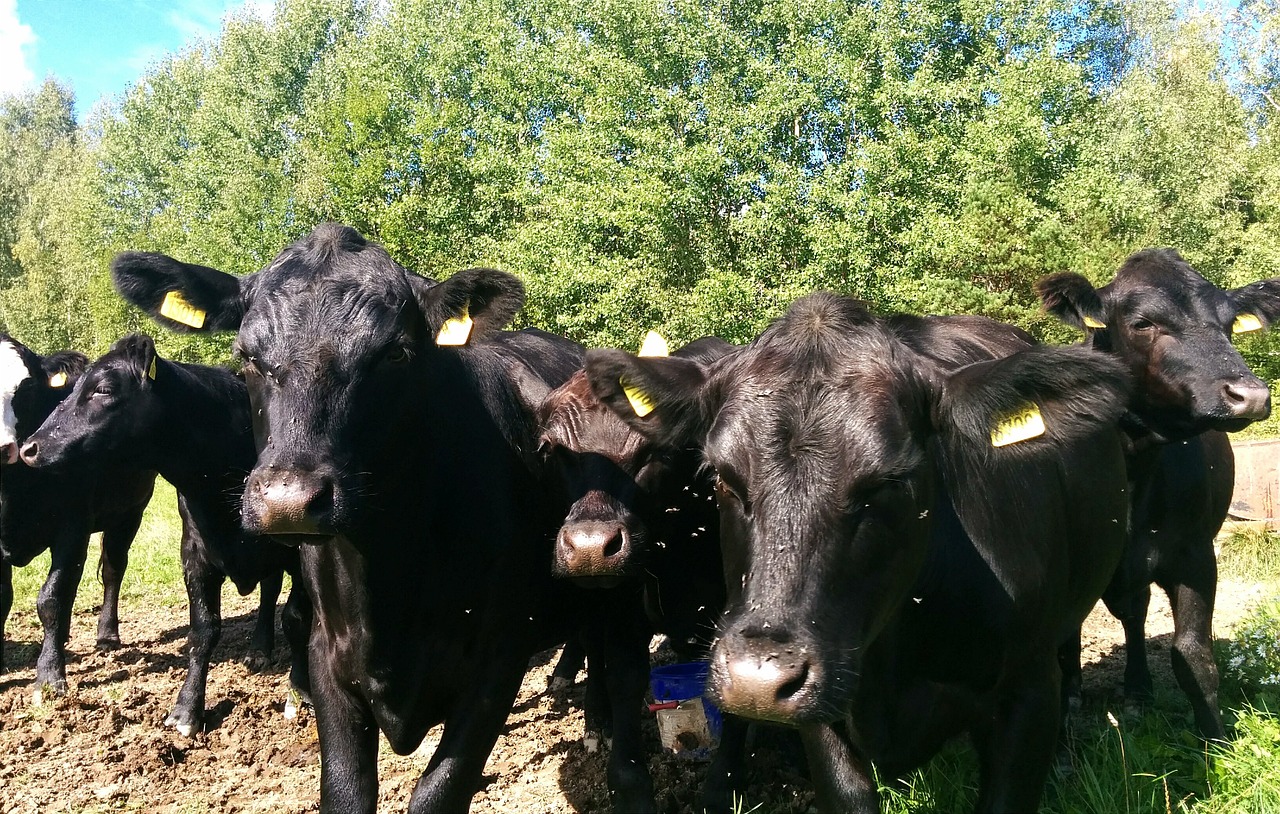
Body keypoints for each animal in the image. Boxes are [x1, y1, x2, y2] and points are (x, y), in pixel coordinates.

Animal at [0, 332, 156, 696]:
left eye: (26, 387)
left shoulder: (72, 530)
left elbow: (53, 599)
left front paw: (50, 675)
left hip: (130, 512)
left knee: (113, 569)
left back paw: (107, 634)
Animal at [21, 332, 311, 732]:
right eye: (72, 389)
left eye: (104, 388)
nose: (30, 447)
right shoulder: (195, 554)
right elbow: (203, 631)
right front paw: (187, 709)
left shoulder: (303, 551)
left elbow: (298, 620)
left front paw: (298, 692)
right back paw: (258, 650)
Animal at [535, 332, 732, 808]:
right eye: (552, 450)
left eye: (655, 450)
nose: (589, 548)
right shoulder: (624, 610)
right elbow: (623, 677)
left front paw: (722, 787)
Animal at [1039, 248, 1280, 737]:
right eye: (1142, 323)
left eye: (1230, 323)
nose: (1250, 395)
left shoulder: (1194, 553)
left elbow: (1193, 655)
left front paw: (1214, 740)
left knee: (1135, 615)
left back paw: (1138, 691)